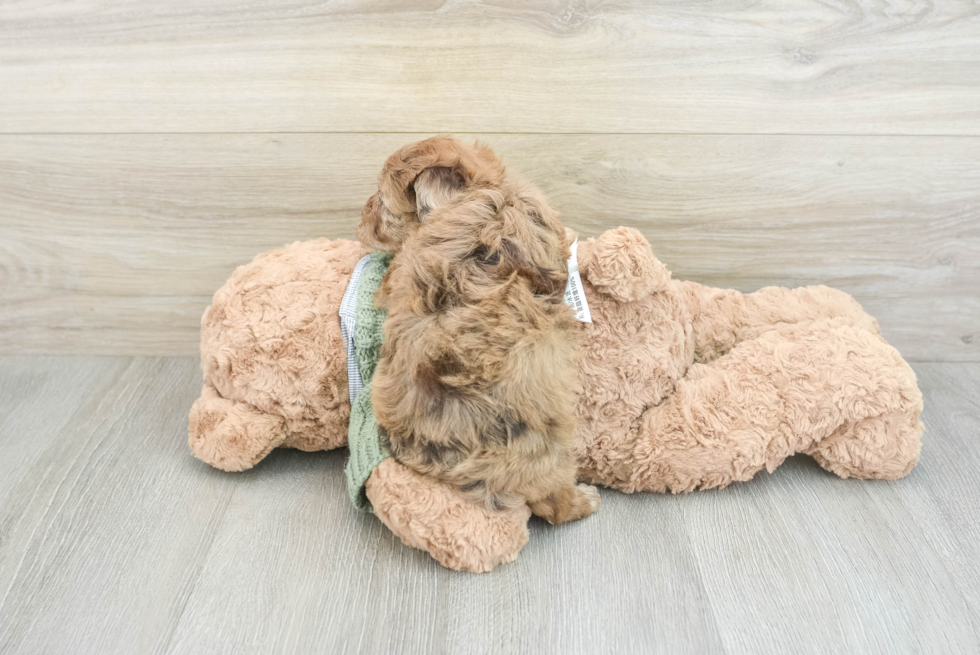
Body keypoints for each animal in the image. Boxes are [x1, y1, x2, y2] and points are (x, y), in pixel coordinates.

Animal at [354, 136, 592, 524]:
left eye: (380, 202)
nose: (359, 222)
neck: (477, 192)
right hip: (551, 448)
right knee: (553, 505)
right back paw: (584, 499)